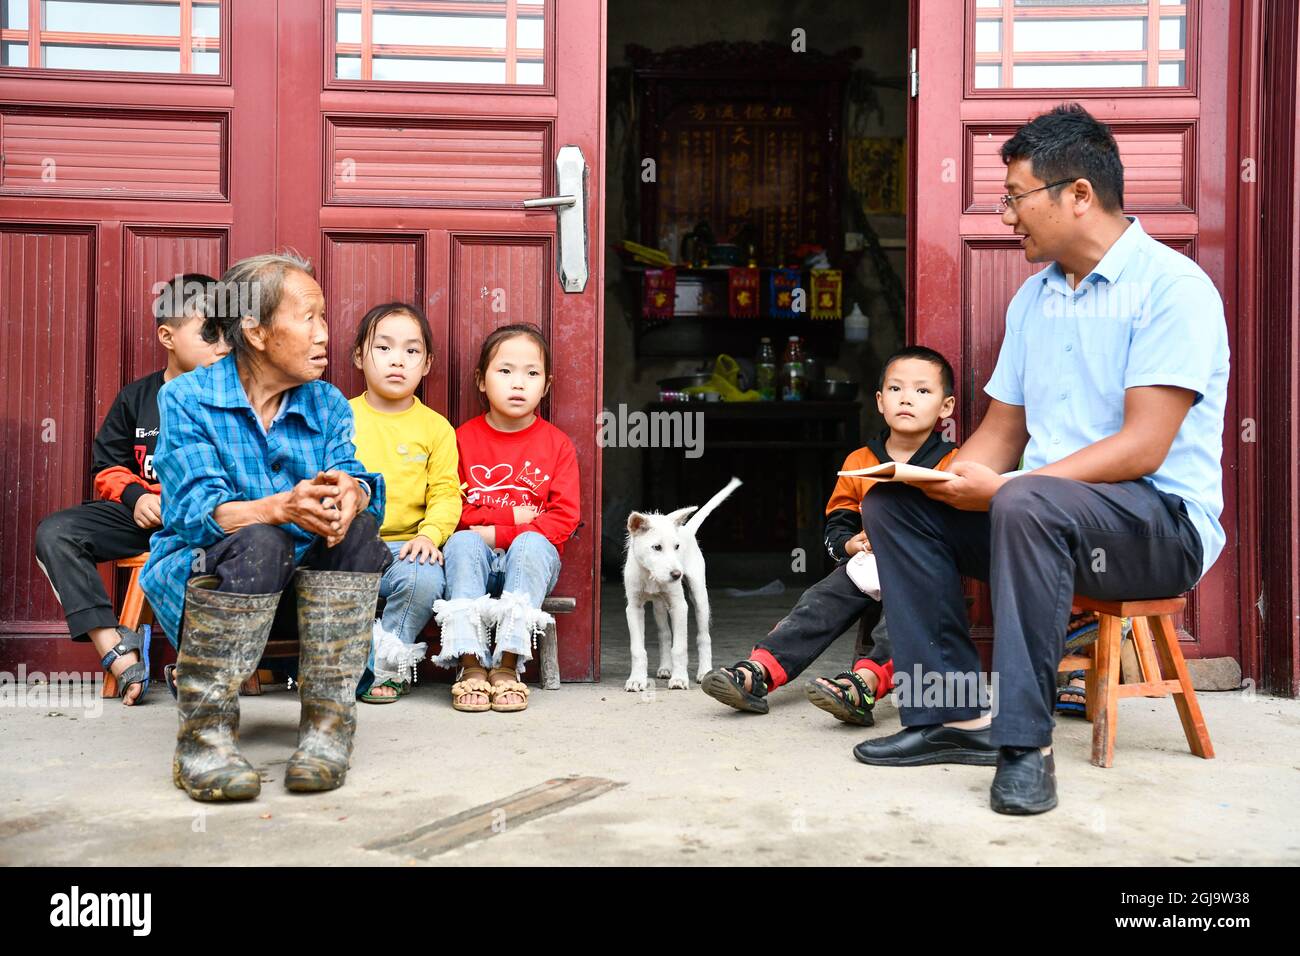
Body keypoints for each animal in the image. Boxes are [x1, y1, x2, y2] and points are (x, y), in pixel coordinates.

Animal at [621, 476, 743, 686]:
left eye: (677, 546)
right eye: (657, 547)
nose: (677, 574)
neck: (652, 575)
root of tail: (686, 528)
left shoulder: (680, 606)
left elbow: (680, 648)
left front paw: (679, 679)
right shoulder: (634, 608)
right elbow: (638, 650)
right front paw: (637, 680)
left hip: (699, 596)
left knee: (704, 636)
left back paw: (704, 671)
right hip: (659, 605)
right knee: (664, 634)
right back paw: (665, 668)